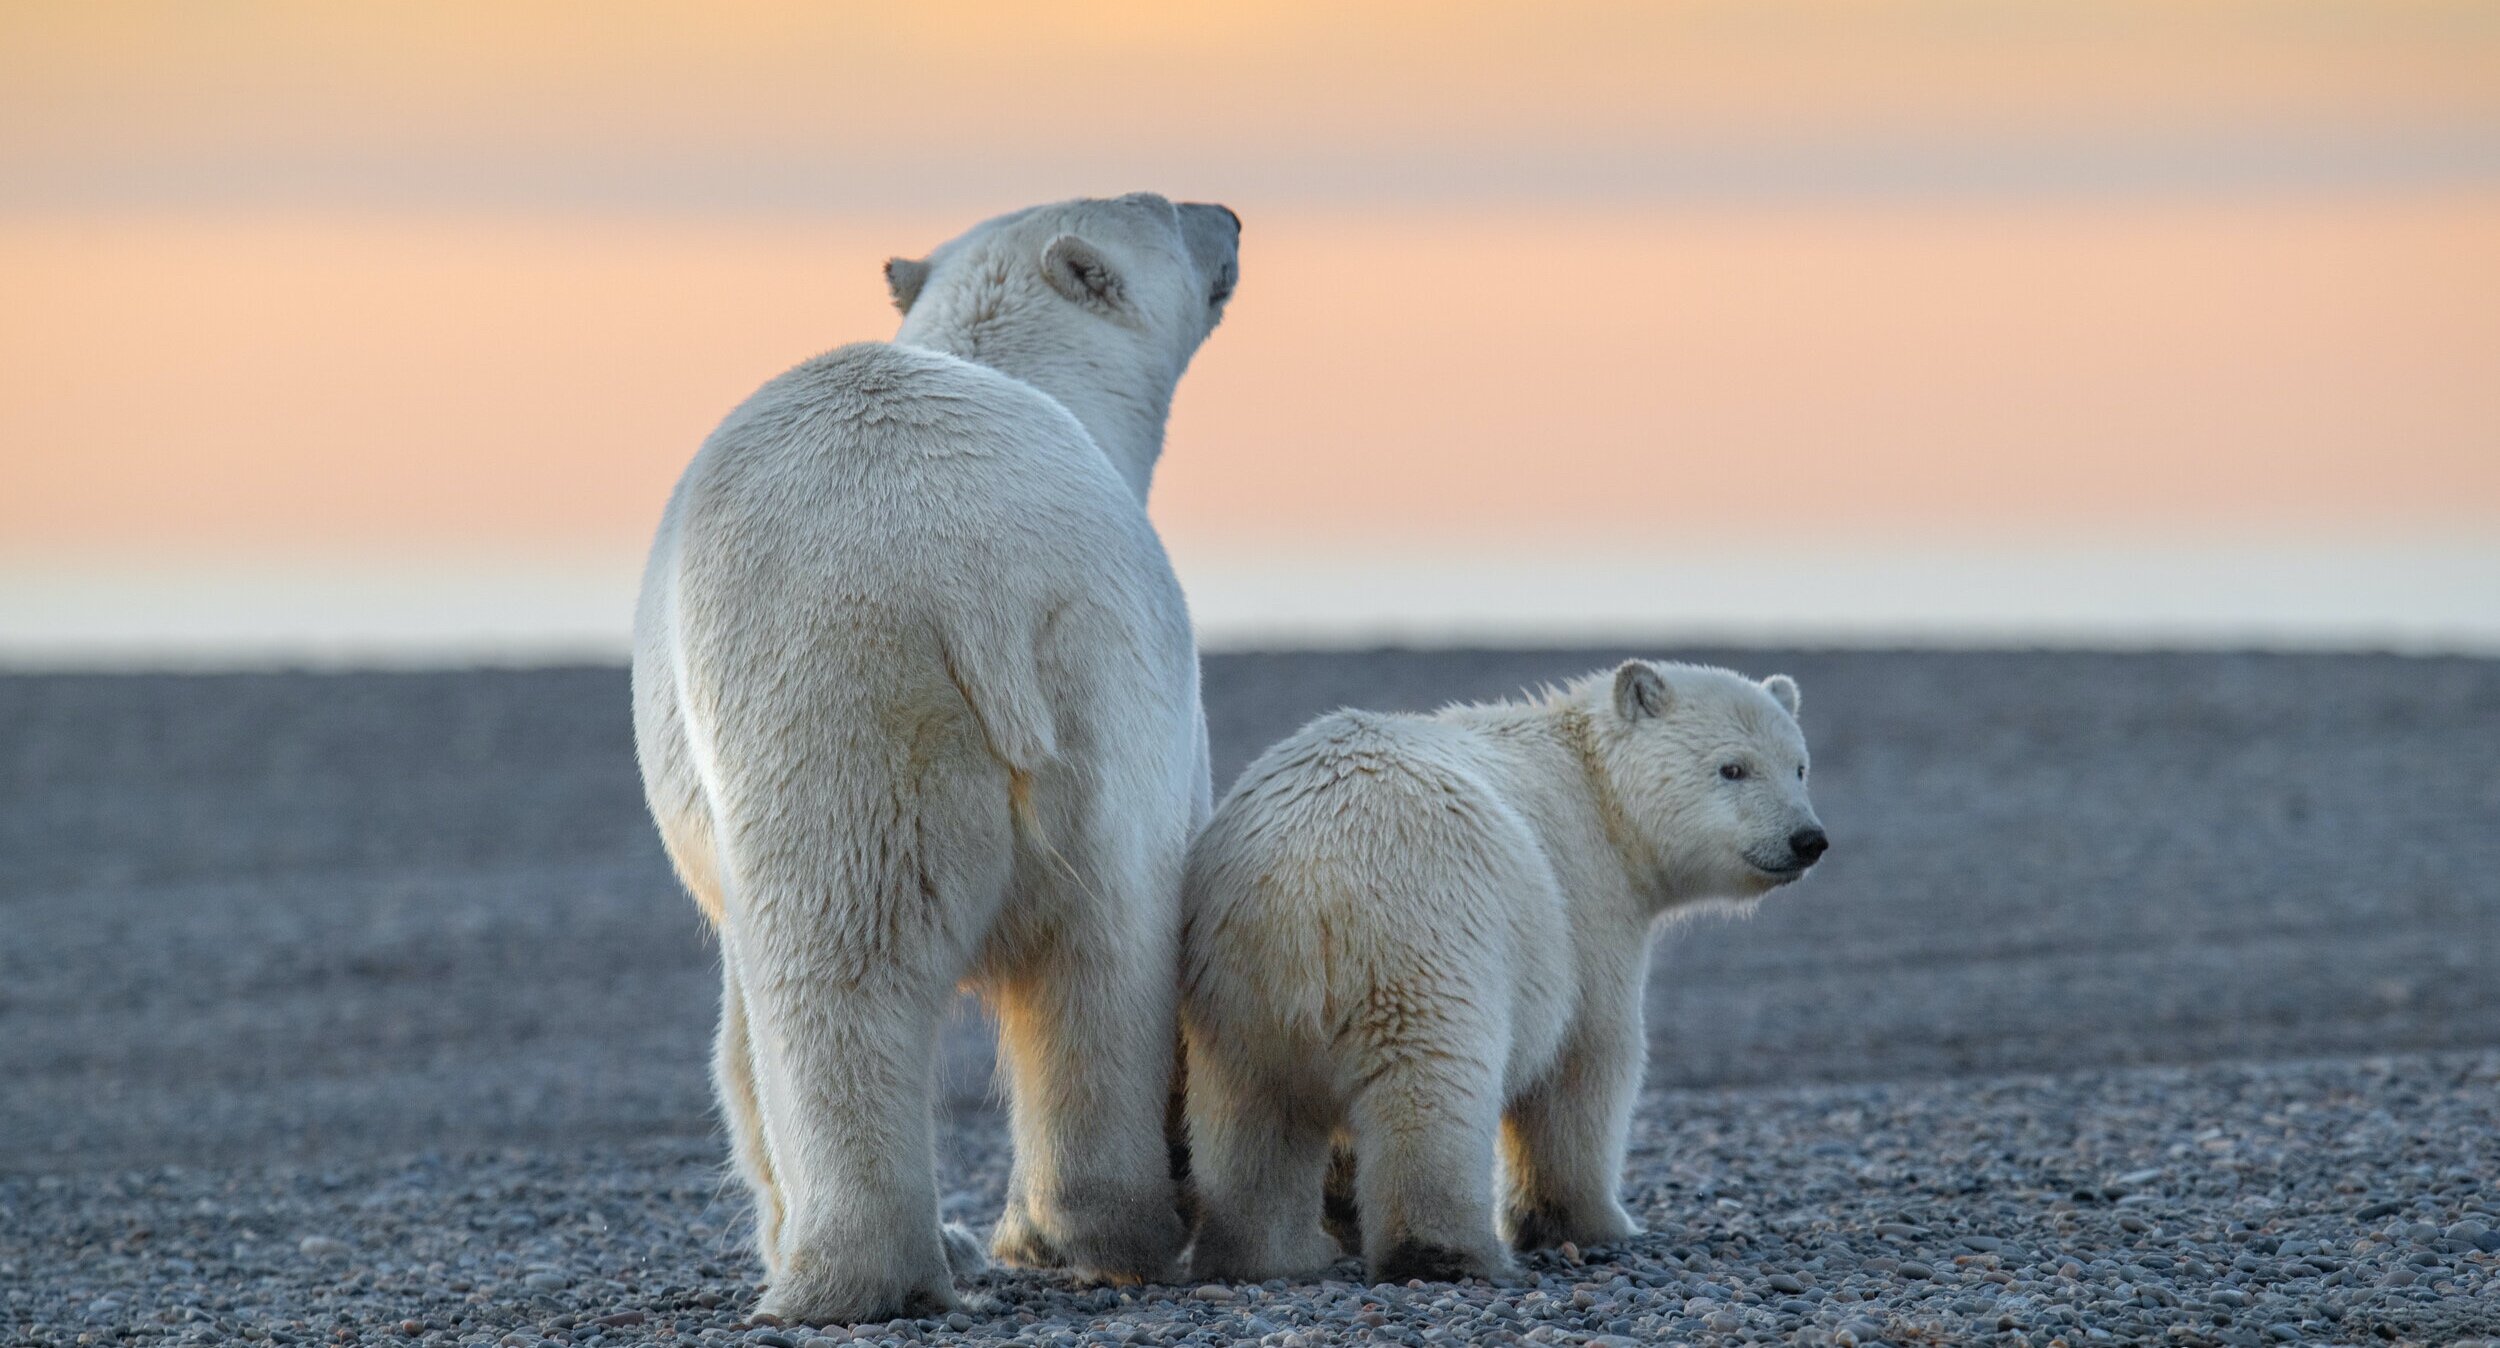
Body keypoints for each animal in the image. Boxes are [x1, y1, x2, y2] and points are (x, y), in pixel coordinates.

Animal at [635, 195, 1240, 1320]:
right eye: (1167, 210)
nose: (1226, 212)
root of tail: (967, 573)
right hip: (1080, 667)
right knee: (1101, 945)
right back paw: (1082, 1232)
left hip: (841, 691)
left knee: (849, 971)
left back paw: (857, 1269)